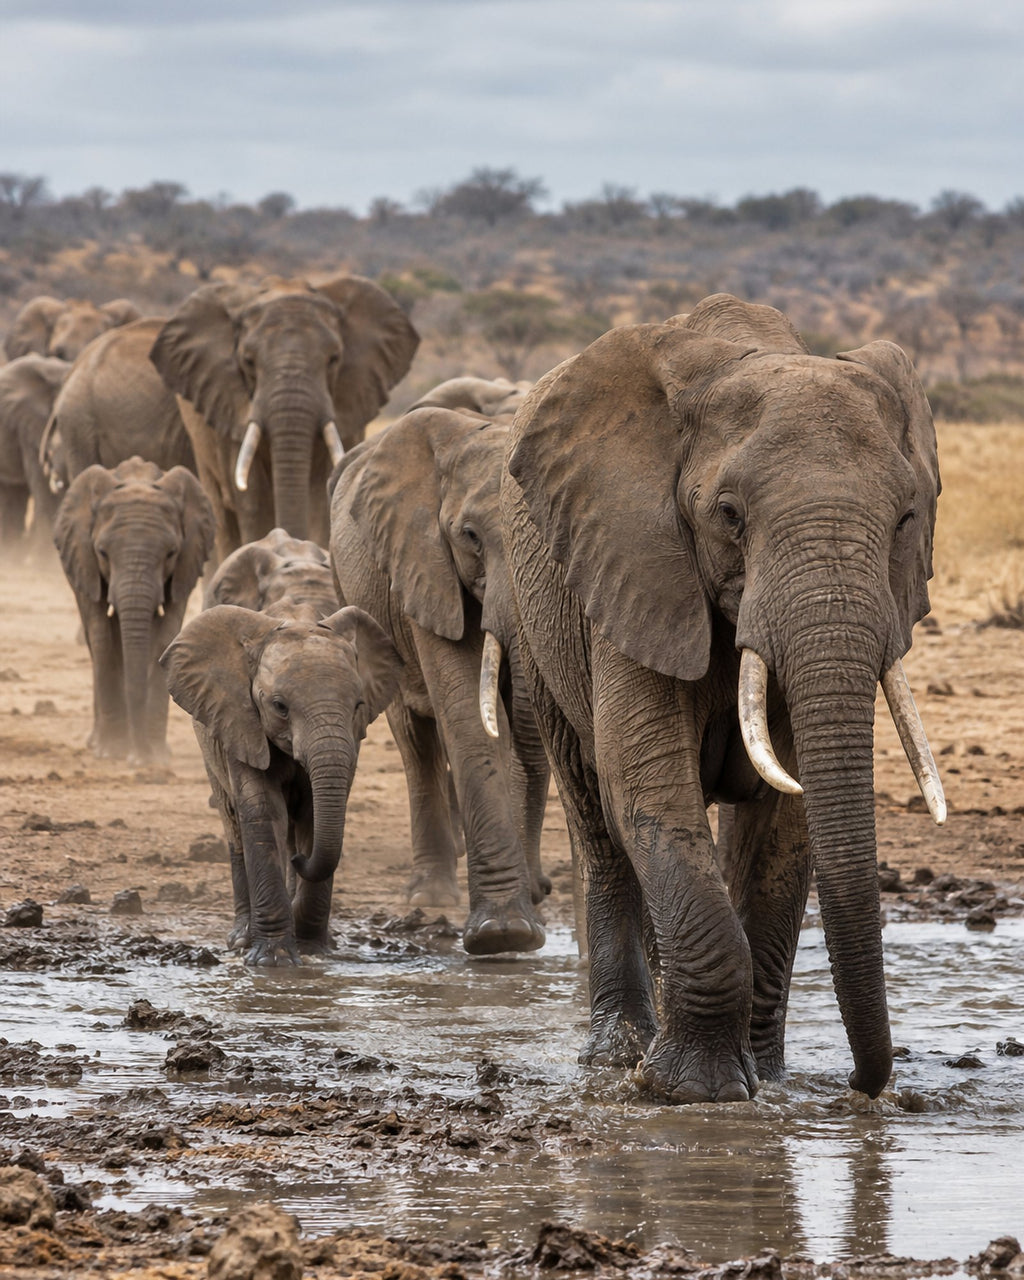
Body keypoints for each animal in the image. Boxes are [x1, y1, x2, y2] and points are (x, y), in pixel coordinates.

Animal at [54, 456, 216, 765]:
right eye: (102, 552)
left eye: (171, 553)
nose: (138, 759)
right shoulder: (86, 564)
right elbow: (102, 638)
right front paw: (113, 752)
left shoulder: (183, 569)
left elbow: (165, 636)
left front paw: (157, 757)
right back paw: (97, 743)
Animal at [161, 529, 403, 965]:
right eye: (279, 706)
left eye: (358, 705)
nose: (299, 860)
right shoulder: (239, 715)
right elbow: (261, 810)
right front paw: (272, 962)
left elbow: (315, 813)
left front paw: (313, 950)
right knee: (233, 822)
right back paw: (241, 937)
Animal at [329, 406, 551, 956]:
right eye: (470, 535)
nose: (541, 889)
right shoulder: (425, 565)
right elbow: (469, 714)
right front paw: (504, 935)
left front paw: (523, 916)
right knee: (417, 737)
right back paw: (430, 898)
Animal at [501, 292, 944, 1103]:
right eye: (729, 515)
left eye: (905, 519)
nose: (867, 1086)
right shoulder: (634, 559)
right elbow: (648, 785)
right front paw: (691, 1092)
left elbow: (786, 822)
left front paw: (763, 1079)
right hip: (536, 613)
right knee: (597, 814)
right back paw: (618, 1054)